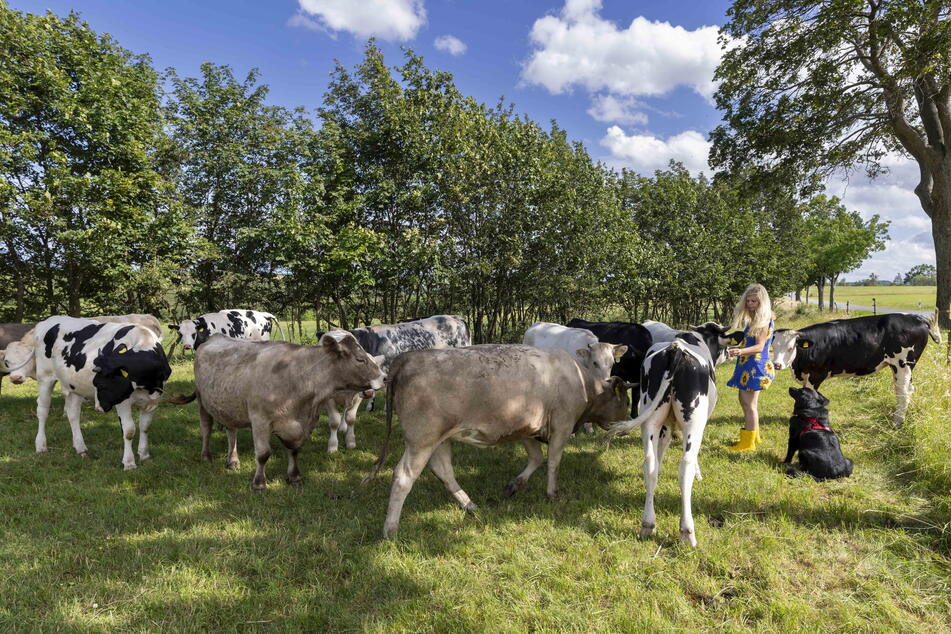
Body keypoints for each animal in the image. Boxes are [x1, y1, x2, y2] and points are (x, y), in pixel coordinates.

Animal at [2, 316, 171, 470]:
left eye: (102, 384)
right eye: (97, 383)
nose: (99, 408)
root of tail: (46, 322)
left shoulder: (154, 400)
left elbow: (145, 426)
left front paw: (144, 455)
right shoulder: (122, 401)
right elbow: (129, 430)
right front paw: (129, 463)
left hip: (73, 385)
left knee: (73, 414)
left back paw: (80, 447)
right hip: (45, 378)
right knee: (42, 411)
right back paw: (41, 445)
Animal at [167, 330, 384, 488]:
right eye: (360, 359)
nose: (383, 377)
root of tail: (213, 338)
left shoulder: (302, 423)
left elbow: (294, 450)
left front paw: (295, 477)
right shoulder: (260, 420)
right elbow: (263, 454)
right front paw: (259, 483)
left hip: (230, 404)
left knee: (231, 431)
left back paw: (233, 460)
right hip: (203, 402)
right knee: (206, 429)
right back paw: (206, 456)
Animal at [358, 344, 640, 536]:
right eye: (625, 401)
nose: (626, 425)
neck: (581, 382)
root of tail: (408, 358)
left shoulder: (526, 428)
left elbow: (536, 457)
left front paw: (515, 485)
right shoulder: (562, 424)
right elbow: (553, 462)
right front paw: (552, 494)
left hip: (439, 439)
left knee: (444, 470)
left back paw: (470, 505)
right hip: (421, 441)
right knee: (403, 477)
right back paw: (391, 528)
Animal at [608, 324, 736, 544]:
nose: (730, 354)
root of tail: (676, 350)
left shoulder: (666, 425)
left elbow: (660, 451)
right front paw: (699, 473)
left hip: (650, 418)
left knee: (649, 464)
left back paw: (647, 523)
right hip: (694, 421)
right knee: (685, 467)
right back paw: (687, 531)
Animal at [772, 312, 944, 424]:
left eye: (790, 348)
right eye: (772, 347)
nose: (777, 365)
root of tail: (916, 317)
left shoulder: (815, 375)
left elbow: (809, 396)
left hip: (903, 364)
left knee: (904, 391)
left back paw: (897, 422)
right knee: (903, 389)